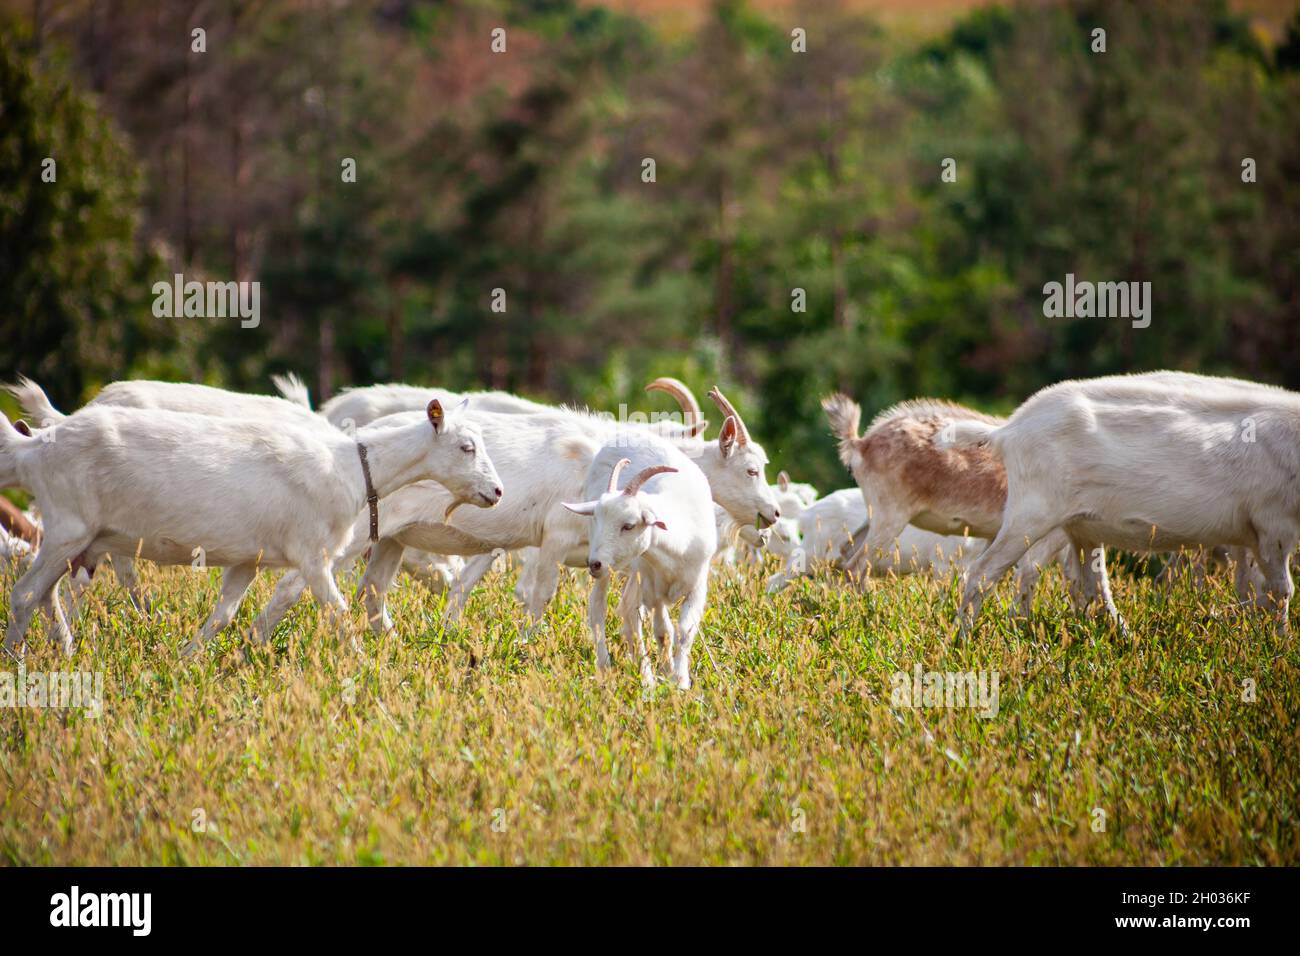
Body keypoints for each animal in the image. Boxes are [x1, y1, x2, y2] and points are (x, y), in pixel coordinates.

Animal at [563, 446, 717, 688]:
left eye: (629, 525)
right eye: (597, 519)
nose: (594, 564)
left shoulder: (696, 586)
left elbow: (680, 632)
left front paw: (678, 679)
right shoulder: (643, 585)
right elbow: (638, 627)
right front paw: (649, 681)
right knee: (598, 608)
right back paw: (604, 666)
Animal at [943, 371, 1300, 635]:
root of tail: (1008, 430)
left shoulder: (1249, 536)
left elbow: (1254, 589)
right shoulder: (1273, 526)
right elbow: (1281, 590)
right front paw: (1277, 644)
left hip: (1079, 526)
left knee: (1087, 586)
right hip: (1032, 513)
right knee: (983, 572)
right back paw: (964, 638)